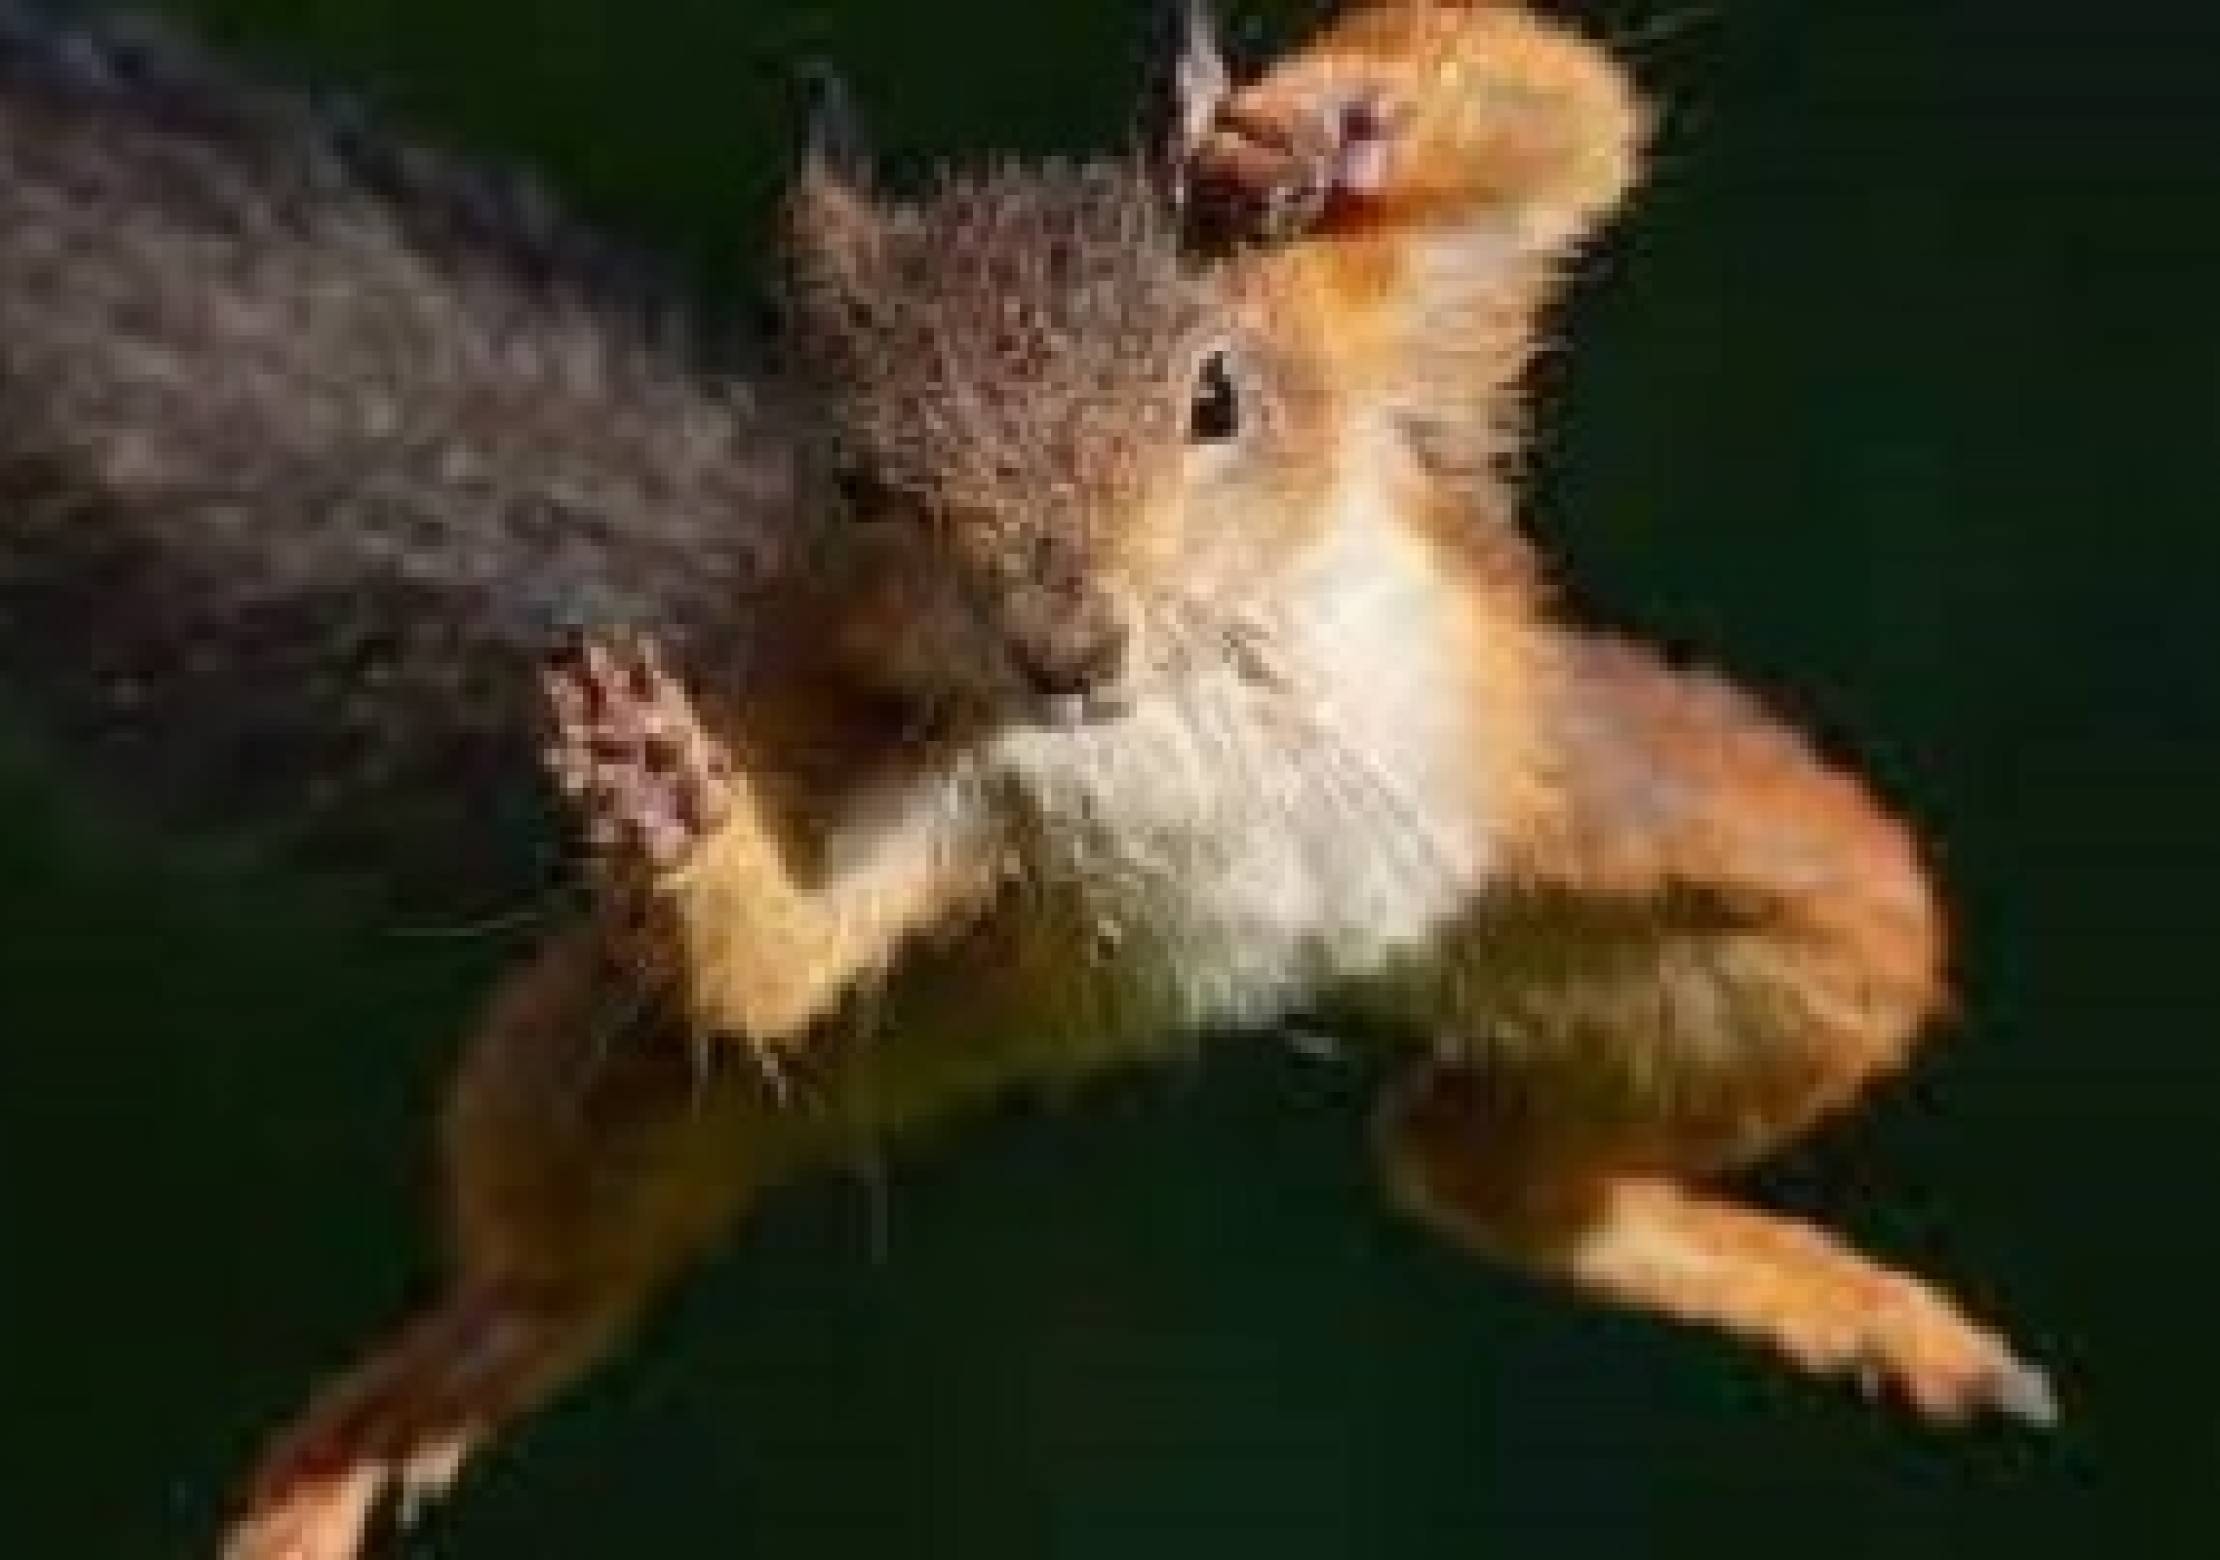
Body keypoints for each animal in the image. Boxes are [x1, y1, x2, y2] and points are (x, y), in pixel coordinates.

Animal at [0, 3, 2050, 1557]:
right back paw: (393, 1419)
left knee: (1516, 1153)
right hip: (713, 1054)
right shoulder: (940, 797)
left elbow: (1562, 117)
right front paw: (660, 799)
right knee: (573, 1241)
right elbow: (786, 950)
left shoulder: (1390, 337)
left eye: (1218, 398)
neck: (1171, 688)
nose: (1063, 650)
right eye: (859, 486)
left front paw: (1319, 119)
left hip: (1710, 883)